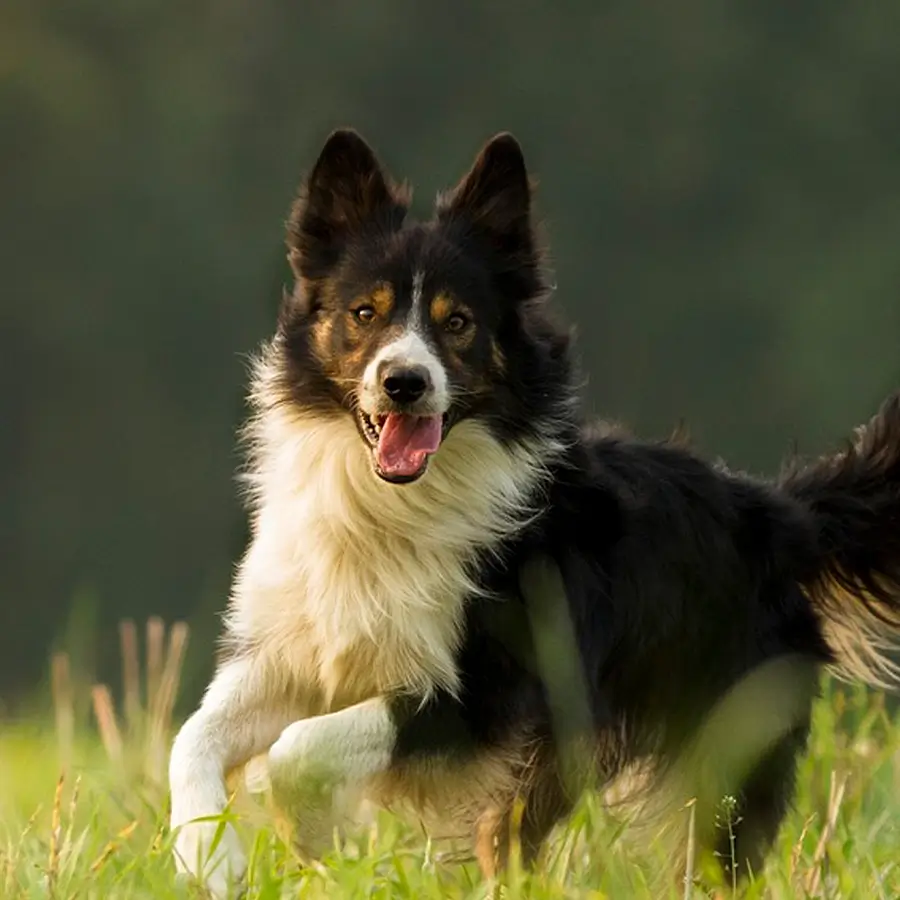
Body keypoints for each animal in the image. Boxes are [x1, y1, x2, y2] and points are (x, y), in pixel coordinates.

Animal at [169, 130, 900, 896]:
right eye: (364, 313)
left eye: (458, 323)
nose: (404, 382)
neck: (390, 506)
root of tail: (778, 510)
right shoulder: (293, 651)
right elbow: (193, 736)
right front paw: (208, 858)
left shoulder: (484, 692)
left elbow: (299, 747)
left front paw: (314, 833)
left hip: (719, 743)